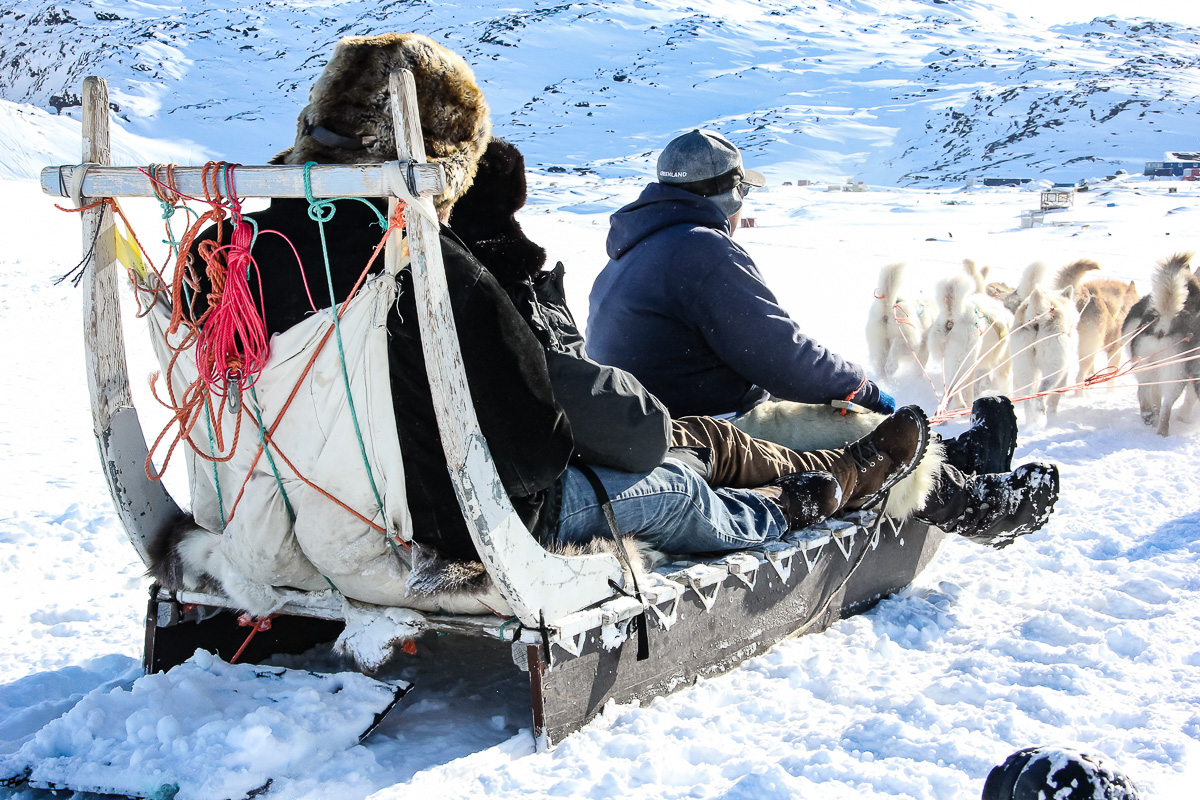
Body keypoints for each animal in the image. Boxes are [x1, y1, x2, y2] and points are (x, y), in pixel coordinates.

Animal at [929, 272, 1013, 410]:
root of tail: (953, 319)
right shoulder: (1004, 362)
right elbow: (1006, 383)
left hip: (951, 364)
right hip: (965, 365)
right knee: (957, 390)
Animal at [1009, 264, 1080, 425]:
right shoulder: (1064, 369)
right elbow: (1055, 398)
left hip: (1025, 367)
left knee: (1028, 400)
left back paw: (1032, 422)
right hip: (1055, 367)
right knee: (1041, 394)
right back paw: (1041, 412)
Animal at [1122, 252, 1200, 435]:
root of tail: (1164, 321)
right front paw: (1185, 419)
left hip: (1146, 366)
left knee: (1144, 391)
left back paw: (1149, 415)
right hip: (1175, 375)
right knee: (1166, 406)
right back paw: (1162, 432)